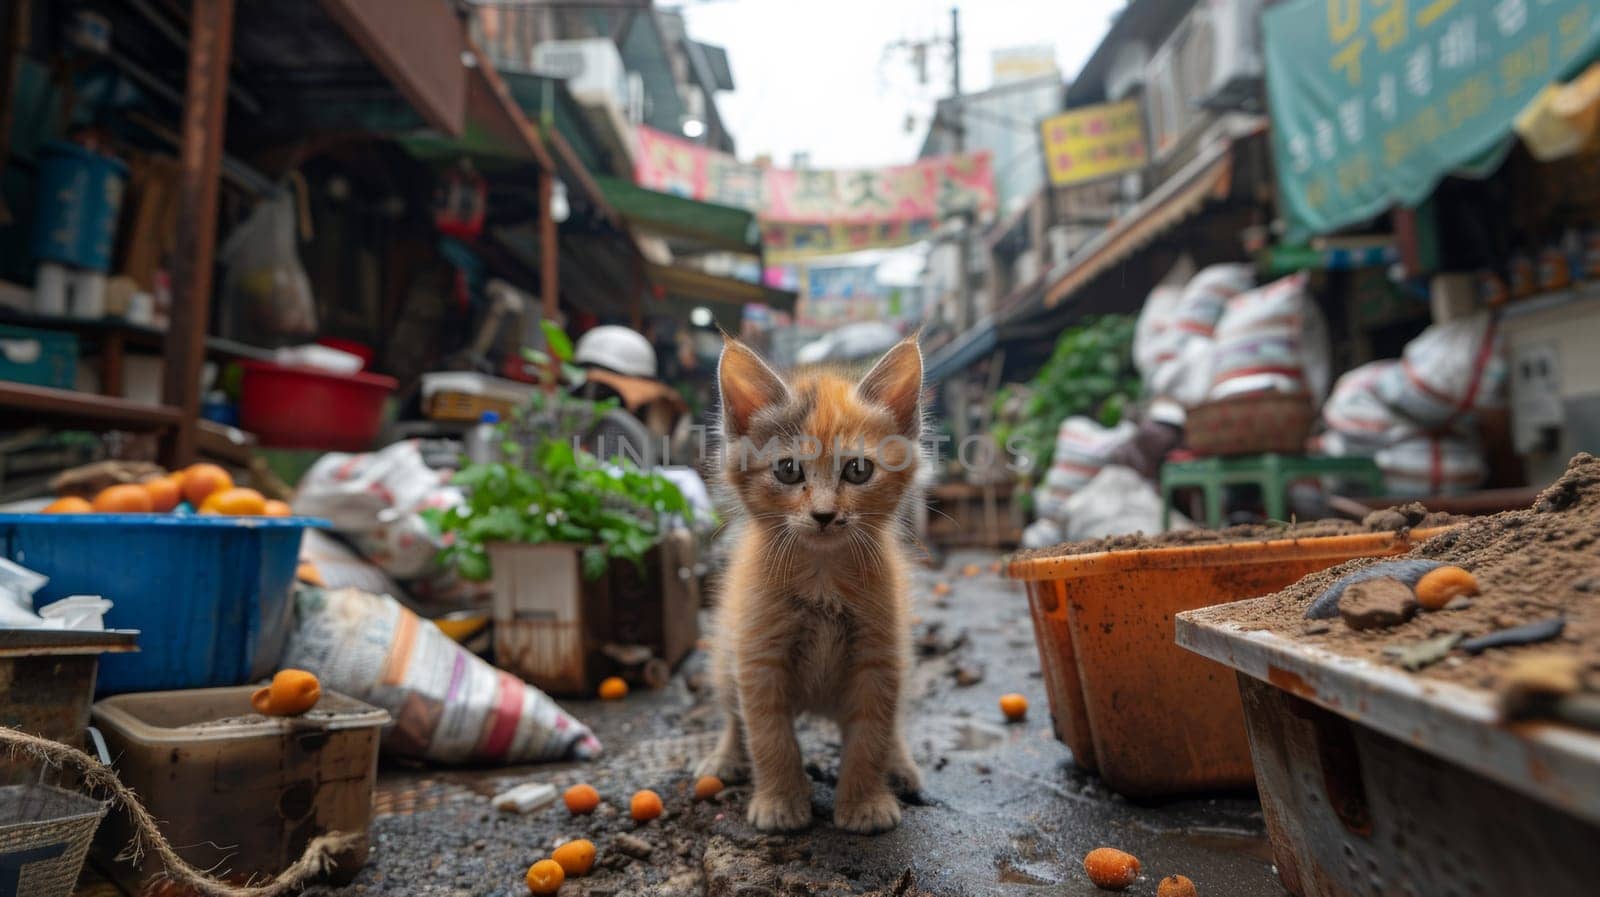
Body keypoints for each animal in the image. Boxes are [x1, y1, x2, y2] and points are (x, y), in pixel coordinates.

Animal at [700, 334, 928, 831]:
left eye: (858, 470)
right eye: (788, 470)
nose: (824, 515)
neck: (823, 576)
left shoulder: (879, 658)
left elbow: (871, 735)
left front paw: (864, 803)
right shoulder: (758, 657)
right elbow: (768, 735)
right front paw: (781, 802)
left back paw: (900, 765)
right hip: (726, 654)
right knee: (732, 714)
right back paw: (725, 758)